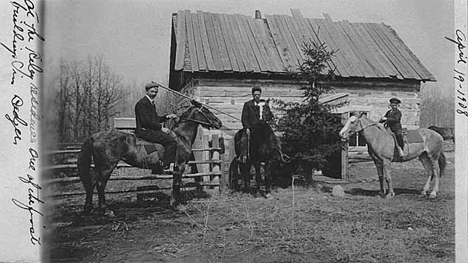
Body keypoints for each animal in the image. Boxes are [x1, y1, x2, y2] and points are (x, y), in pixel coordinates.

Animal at [77, 101, 223, 217]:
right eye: (206, 111)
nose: (219, 122)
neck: (181, 137)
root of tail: (94, 136)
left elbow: (174, 184)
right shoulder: (180, 165)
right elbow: (176, 184)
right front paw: (176, 205)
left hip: (99, 166)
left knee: (91, 182)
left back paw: (88, 208)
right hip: (107, 166)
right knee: (100, 185)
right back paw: (106, 210)